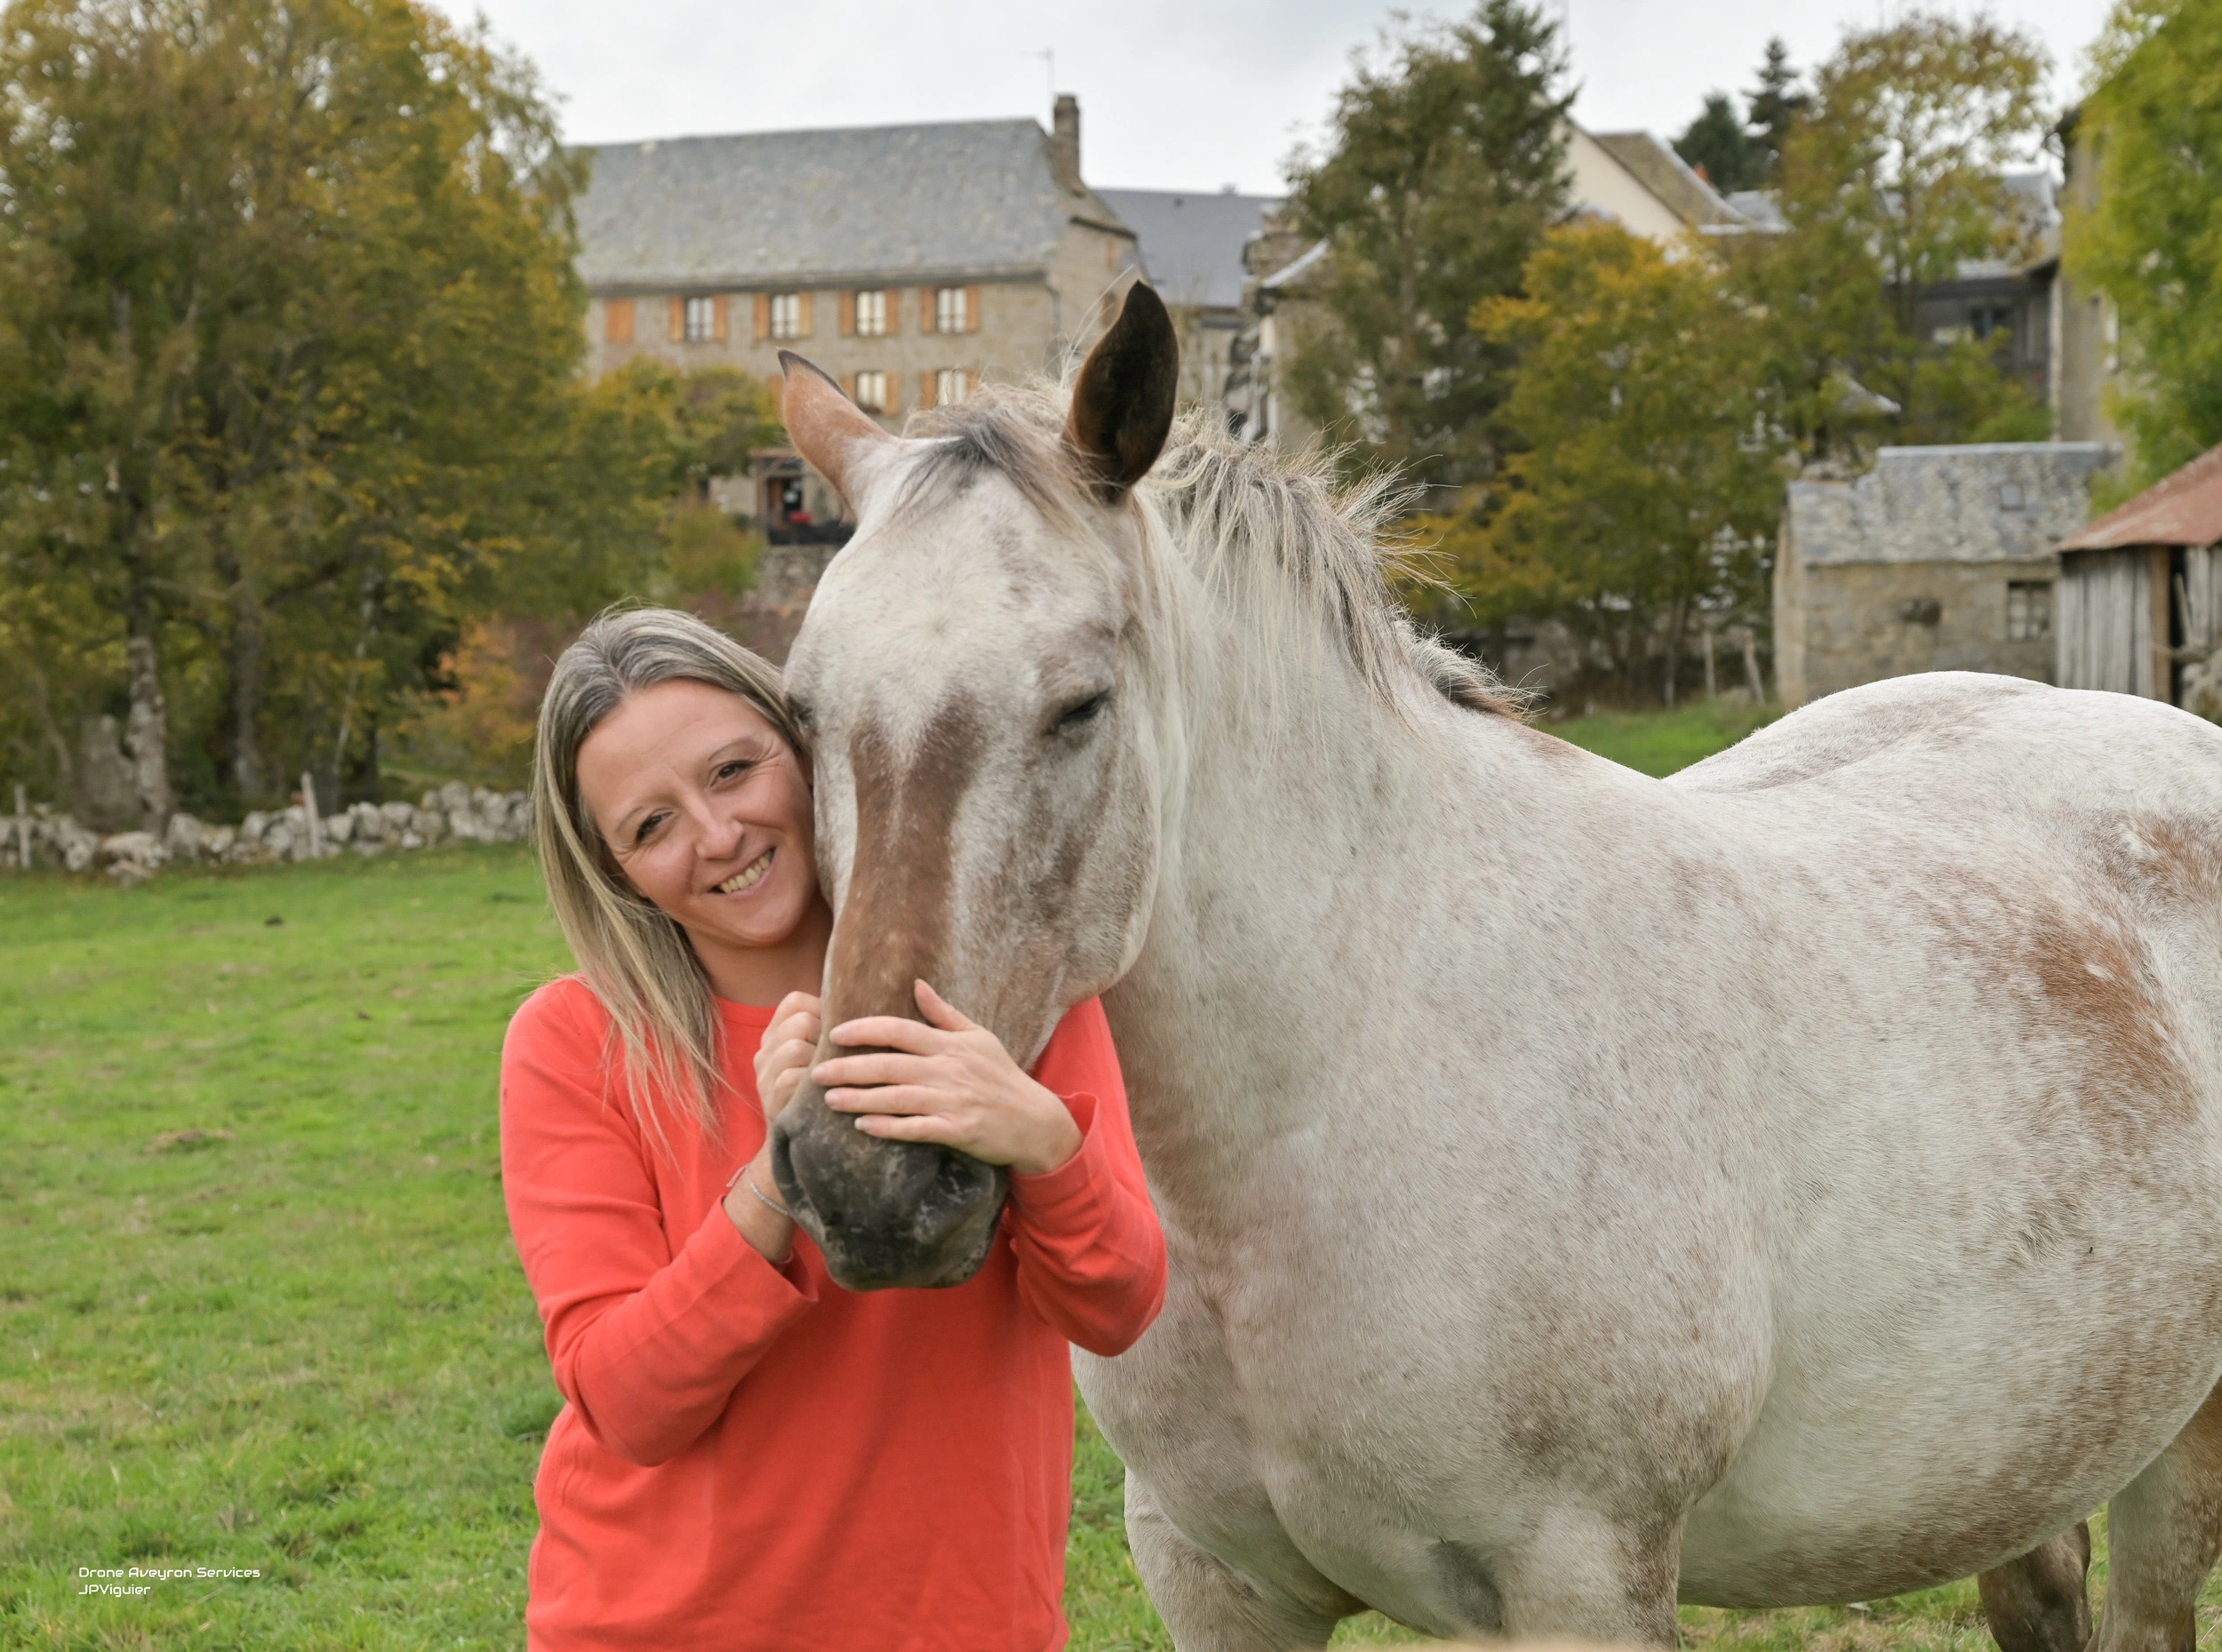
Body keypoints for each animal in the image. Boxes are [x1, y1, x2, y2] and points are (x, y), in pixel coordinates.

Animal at [767, 284, 2222, 1652]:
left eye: (1080, 705)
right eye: (801, 712)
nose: (864, 1180)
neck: (1325, 1103)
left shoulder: (1580, 1578)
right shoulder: (1212, 1576)